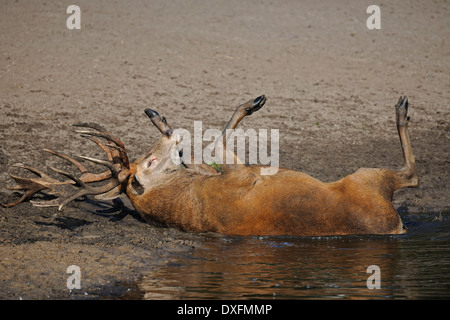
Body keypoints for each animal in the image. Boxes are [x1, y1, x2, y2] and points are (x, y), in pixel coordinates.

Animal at [2, 96, 418, 236]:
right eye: (151, 161)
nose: (175, 139)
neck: (186, 196)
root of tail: (394, 224)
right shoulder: (240, 174)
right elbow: (217, 141)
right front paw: (252, 103)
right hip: (364, 177)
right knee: (411, 176)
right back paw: (402, 109)